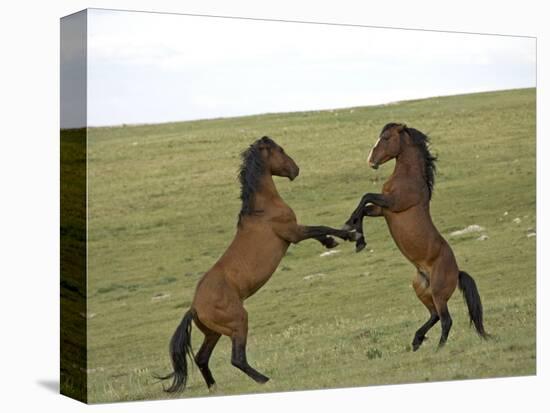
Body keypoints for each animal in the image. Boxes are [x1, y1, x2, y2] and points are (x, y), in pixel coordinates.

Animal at [157, 136, 358, 392]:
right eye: (280, 150)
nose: (295, 170)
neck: (262, 209)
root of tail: (194, 307)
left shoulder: (295, 232)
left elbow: (319, 231)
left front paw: (331, 242)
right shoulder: (293, 232)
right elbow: (320, 227)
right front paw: (349, 235)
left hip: (214, 333)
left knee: (203, 358)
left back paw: (215, 387)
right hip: (238, 322)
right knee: (237, 358)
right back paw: (265, 379)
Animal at [344, 123, 492, 350]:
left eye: (386, 138)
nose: (371, 161)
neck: (408, 177)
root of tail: (457, 272)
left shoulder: (392, 203)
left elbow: (365, 197)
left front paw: (351, 226)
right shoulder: (382, 210)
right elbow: (365, 208)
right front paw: (358, 238)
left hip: (439, 293)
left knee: (446, 319)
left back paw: (438, 349)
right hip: (421, 289)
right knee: (435, 315)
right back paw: (417, 340)